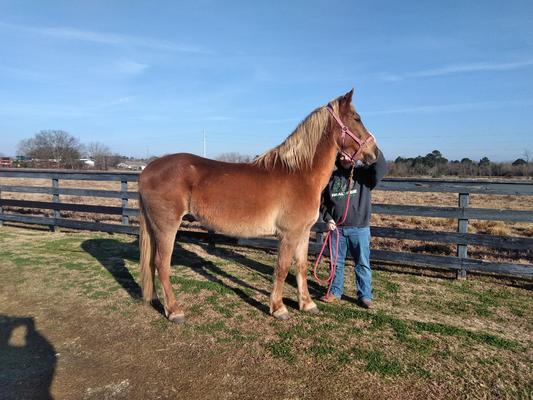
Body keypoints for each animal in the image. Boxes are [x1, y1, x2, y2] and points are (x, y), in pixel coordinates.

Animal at [138, 90, 378, 322]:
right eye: (357, 118)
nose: (374, 153)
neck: (300, 173)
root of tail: (148, 169)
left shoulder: (302, 233)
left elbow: (300, 268)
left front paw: (307, 304)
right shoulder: (288, 235)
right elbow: (282, 269)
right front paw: (279, 308)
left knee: (150, 263)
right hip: (167, 227)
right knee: (161, 264)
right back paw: (175, 311)